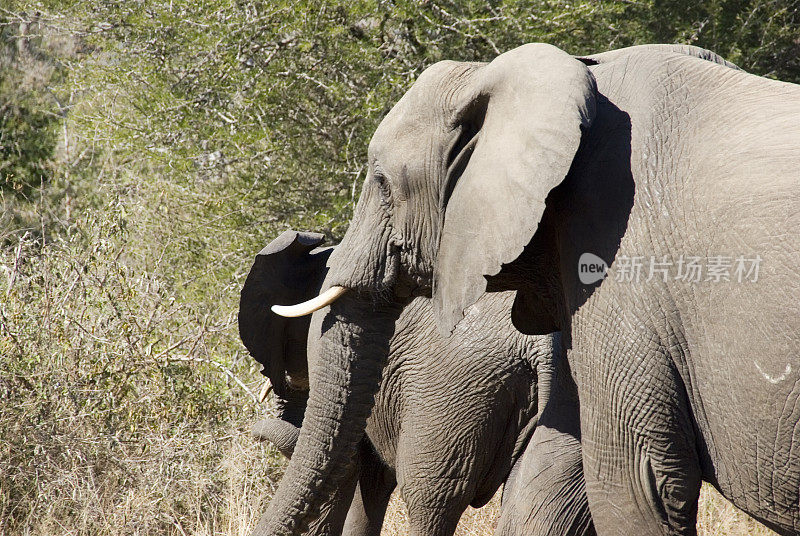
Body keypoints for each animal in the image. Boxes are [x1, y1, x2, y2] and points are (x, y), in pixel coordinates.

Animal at [239, 230, 592, 536]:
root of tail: (540, 344)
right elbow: (370, 483)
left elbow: (348, 472)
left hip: (451, 397)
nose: (254, 432)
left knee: (432, 500)